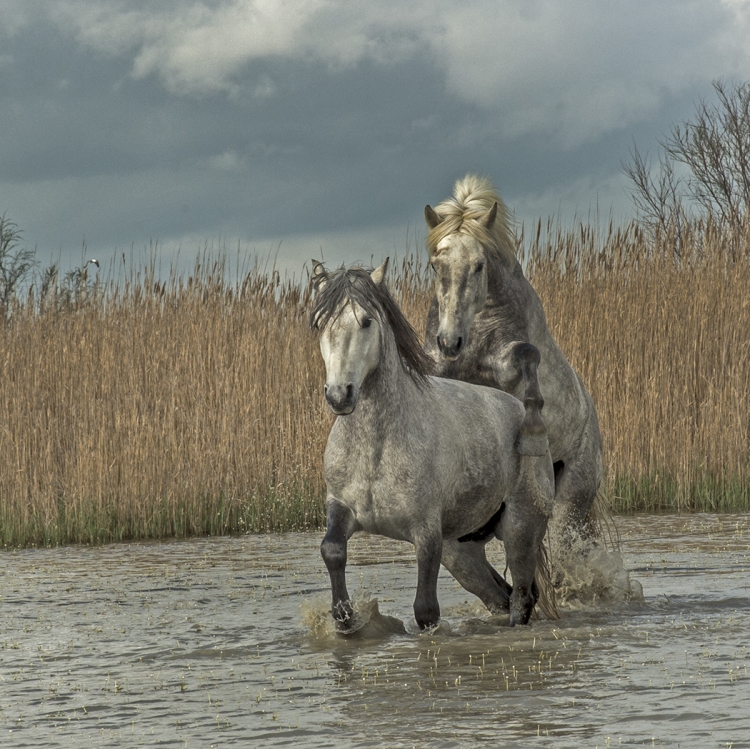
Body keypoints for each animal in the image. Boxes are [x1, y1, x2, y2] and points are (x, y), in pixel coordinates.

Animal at [310, 259, 555, 629]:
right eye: (319, 323)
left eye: (366, 321)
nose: (340, 395)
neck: (375, 450)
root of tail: (523, 413)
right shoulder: (340, 507)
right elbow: (332, 550)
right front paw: (345, 618)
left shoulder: (426, 533)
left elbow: (426, 610)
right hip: (462, 554)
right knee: (502, 595)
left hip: (521, 530)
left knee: (522, 598)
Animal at [423, 174, 603, 543]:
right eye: (436, 265)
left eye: (479, 266)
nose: (450, 341)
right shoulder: (442, 367)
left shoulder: (508, 361)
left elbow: (528, 354)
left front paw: (533, 428)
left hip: (571, 498)